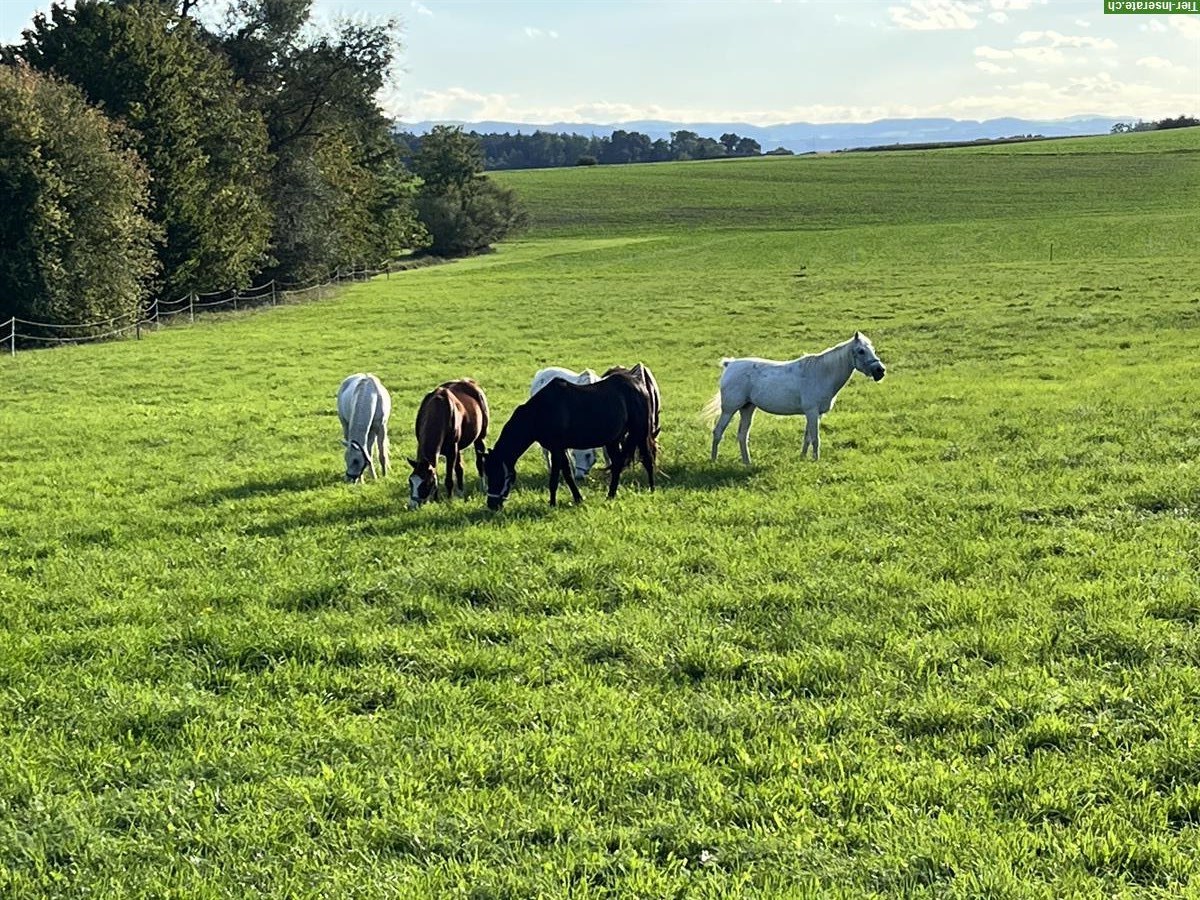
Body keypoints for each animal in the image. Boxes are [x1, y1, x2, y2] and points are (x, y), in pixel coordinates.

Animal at [410, 379, 489, 511]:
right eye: (410, 481)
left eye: (426, 483)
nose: (413, 505)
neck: (438, 410)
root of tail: (470, 382)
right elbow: (437, 473)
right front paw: (436, 500)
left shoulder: (451, 450)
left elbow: (448, 479)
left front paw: (449, 500)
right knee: (460, 469)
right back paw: (461, 493)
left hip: (480, 438)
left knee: (480, 463)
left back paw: (483, 488)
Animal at [484, 369, 657, 511]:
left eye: (498, 476)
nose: (492, 505)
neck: (539, 412)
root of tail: (639, 384)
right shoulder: (559, 449)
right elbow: (567, 474)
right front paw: (578, 498)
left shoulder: (556, 448)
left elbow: (555, 477)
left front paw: (552, 503)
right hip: (613, 440)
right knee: (617, 464)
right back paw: (610, 495)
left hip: (639, 432)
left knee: (647, 459)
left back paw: (651, 490)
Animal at [700, 331, 883, 465]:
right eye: (861, 351)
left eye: (872, 349)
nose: (880, 371)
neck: (821, 373)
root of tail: (730, 364)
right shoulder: (811, 412)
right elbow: (815, 438)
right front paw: (816, 461)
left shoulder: (815, 414)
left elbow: (807, 438)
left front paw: (803, 458)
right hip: (729, 410)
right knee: (718, 432)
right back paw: (714, 461)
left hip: (747, 408)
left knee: (742, 435)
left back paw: (747, 463)